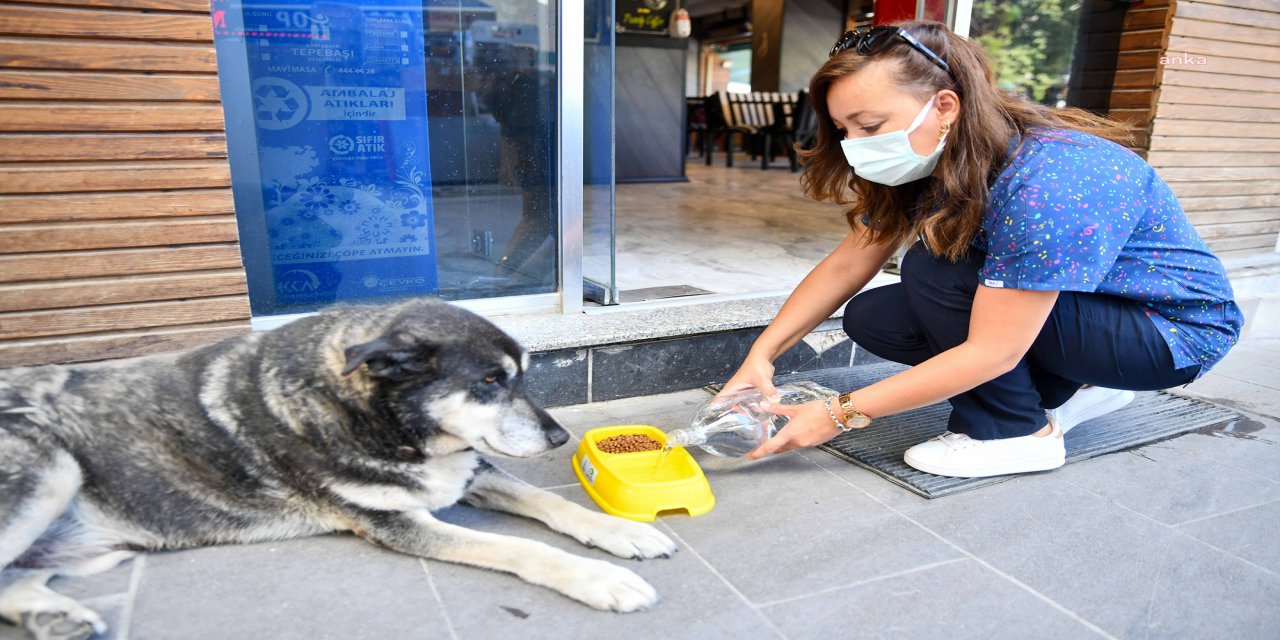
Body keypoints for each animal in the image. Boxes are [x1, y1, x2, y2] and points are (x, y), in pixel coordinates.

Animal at [0, 298, 680, 640]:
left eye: (521, 377)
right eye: (490, 381)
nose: (560, 436)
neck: (384, 422)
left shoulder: (470, 471)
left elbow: (553, 503)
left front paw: (625, 532)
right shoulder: (396, 523)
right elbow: (526, 550)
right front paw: (599, 579)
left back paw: (55, 617)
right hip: (49, 467)